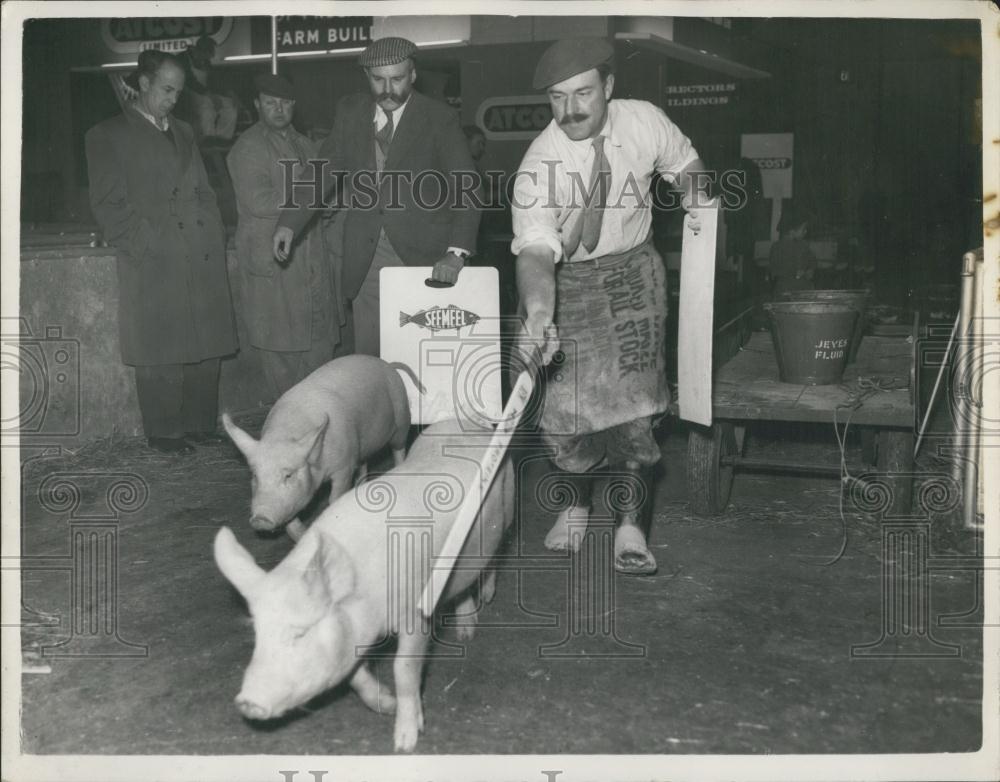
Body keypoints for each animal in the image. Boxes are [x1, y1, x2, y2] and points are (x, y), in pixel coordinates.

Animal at [217, 420, 516, 756]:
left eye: (301, 633)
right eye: (258, 634)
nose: (247, 701)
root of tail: (468, 424)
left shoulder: (416, 613)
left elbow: (404, 669)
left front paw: (405, 743)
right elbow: (354, 678)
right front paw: (386, 704)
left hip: (506, 511)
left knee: (495, 556)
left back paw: (483, 604)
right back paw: (466, 631)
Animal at [222, 358, 418, 544]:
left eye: (288, 475)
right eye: (255, 476)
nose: (260, 518)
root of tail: (388, 366)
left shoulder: (343, 466)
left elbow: (334, 498)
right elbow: (291, 524)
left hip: (401, 419)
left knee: (399, 449)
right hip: (363, 447)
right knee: (363, 464)